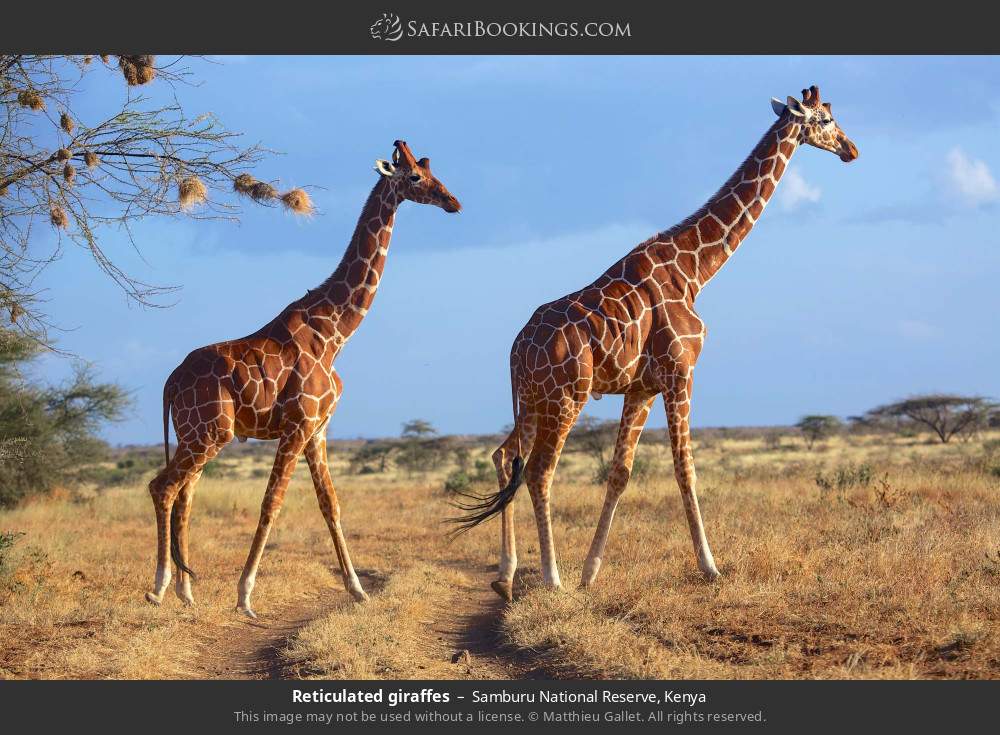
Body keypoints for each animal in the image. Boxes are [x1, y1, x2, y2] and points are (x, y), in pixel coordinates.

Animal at [146, 141, 462, 620]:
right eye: (414, 178)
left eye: (432, 171)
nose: (453, 202)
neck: (336, 333)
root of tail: (169, 382)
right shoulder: (296, 426)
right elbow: (271, 503)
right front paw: (245, 596)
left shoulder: (319, 429)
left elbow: (330, 504)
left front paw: (357, 589)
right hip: (209, 433)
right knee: (163, 486)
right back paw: (160, 587)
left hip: (195, 435)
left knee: (184, 493)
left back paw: (186, 591)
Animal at [454, 86, 860, 604]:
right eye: (826, 119)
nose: (851, 149)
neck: (696, 270)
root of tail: (514, 349)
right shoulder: (680, 372)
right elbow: (685, 468)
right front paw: (710, 567)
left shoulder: (641, 387)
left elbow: (620, 473)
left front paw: (591, 573)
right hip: (566, 396)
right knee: (540, 470)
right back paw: (550, 577)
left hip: (531, 398)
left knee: (506, 456)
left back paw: (507, 576)